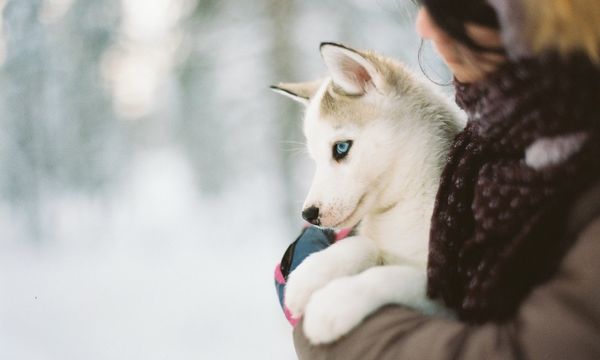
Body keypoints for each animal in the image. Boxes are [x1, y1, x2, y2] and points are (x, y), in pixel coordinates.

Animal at [272, 43, 464, 344]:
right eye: (314, 157)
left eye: (341, 148)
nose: (308, 214)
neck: (402, 206)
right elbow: (363, 244)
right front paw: (311, 274)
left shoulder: (454, 294)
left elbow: (396, 276)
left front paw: (334, 303)